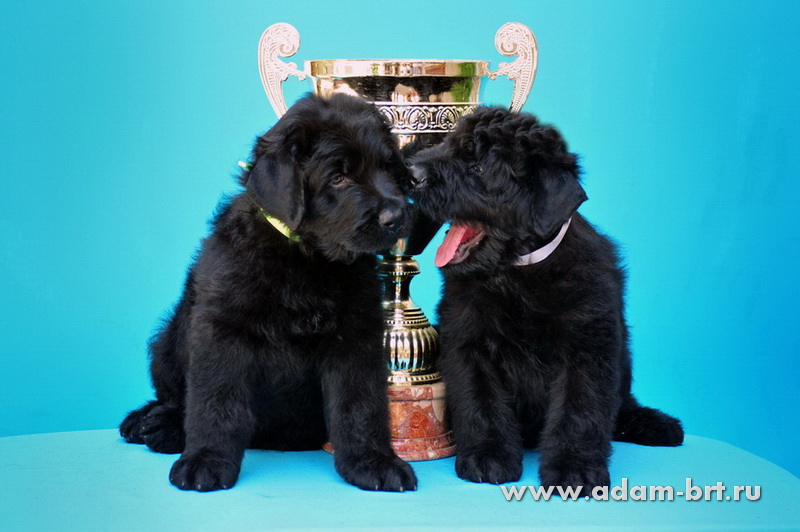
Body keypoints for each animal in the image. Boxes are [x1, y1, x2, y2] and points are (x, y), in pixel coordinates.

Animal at [120, 94, 417, 493]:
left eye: (388, 169)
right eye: (338, 177)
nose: (396, 217)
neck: (307, 259)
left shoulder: (355, 336)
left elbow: (360, 403)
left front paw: (371, 461)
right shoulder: (221, 329)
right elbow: (215, 401)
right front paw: (206, 459)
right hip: (167, 342)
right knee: (172, 397)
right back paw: (151, 423)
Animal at [408, 107, 683, 495]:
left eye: (478, 166)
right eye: (447, 143)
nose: (411, 173)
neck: (517, 273)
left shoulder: (588, 347)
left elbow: (579, 411)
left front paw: (574, 469)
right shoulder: (468, 343)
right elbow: (480, 401)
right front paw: (488, 456)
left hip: (623, 354)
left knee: (622, 405)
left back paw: (656, 424)